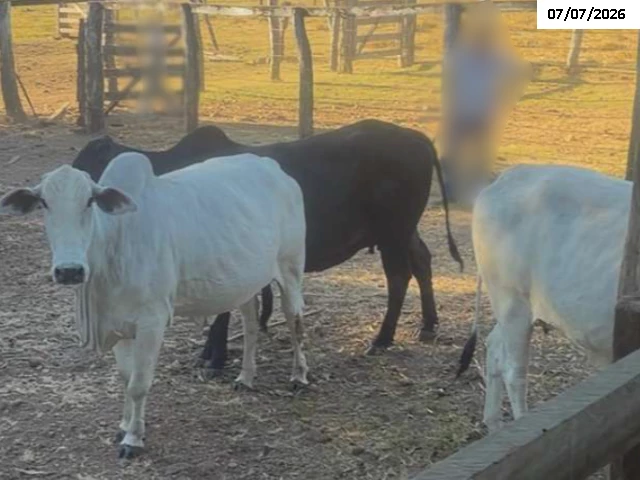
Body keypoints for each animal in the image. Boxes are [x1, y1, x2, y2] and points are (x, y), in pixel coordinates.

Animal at [0, 152, 307, 458]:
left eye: (89, 201)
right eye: (44, 202)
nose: (69, 271)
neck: (116, 241)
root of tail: (273, 167)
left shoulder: (152, 321)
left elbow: (139, 384)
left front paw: (133, 439)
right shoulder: (118, 323)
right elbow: (126, 377)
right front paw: (124, 426)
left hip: (290, 269)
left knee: (295, 320)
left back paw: (299, 376)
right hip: (246, 283)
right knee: (251, 323)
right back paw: (246, 377)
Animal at [72, 119, 463, 373]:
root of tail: (415, 137)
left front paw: (214, 356)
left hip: (393, 232)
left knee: (399, 277)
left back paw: (382, 339)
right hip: (404, 231)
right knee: (422, 261)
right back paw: (428, 324)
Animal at [457, 164, 628, 432]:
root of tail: (508, 176)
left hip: (511, 308)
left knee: (494, 346)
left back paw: (493, 423)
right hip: (512, 302)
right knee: (514, 373)